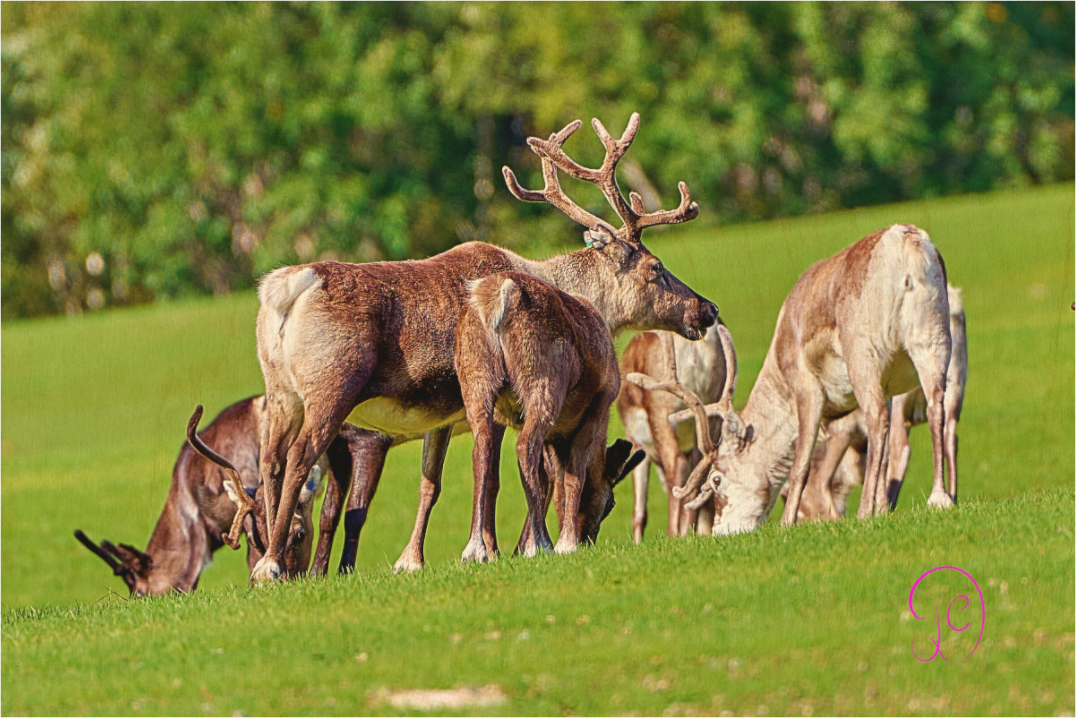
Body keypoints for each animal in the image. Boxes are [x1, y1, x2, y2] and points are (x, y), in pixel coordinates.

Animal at [254, 112, 718, 582]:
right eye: (655, 267)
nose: (707, 308)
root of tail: (286, 288)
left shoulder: (443, 416)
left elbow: (430, 484)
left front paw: (413, 560)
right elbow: (509, 474)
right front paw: (502, 548)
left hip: (281, 391)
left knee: (270, 462)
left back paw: (269, 563)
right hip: (332, 386)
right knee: (298, 456)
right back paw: (271, 565)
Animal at [617, 324, 730, 542]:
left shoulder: (635, 442)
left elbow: (639, 512)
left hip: (662, 413)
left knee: (676, 465)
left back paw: (673, 535)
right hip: (709, 412)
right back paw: (686, 534)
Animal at [781, 285, 967, 521]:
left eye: (802, 513)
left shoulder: (842, 430)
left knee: (900, 449)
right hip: (952, 385)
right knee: (948, 434)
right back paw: (949, 498)